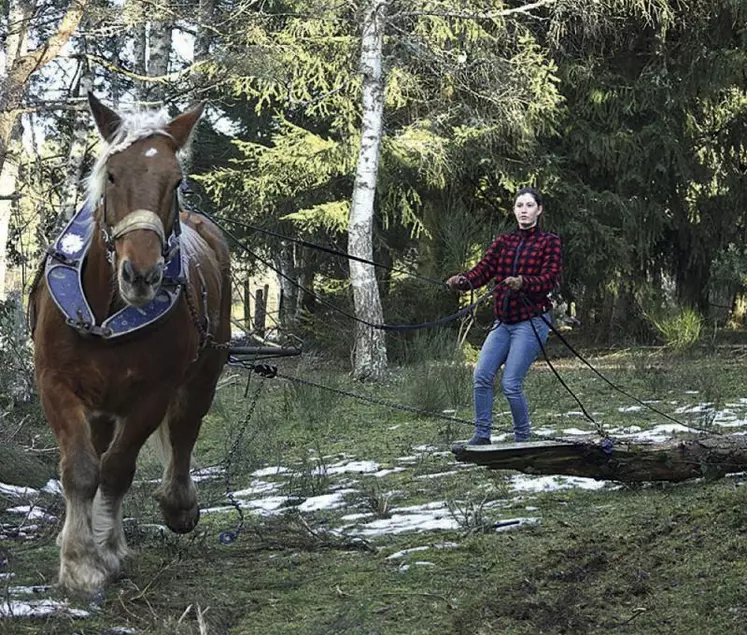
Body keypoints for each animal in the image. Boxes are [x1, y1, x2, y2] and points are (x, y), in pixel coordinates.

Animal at [28, 95, 231, 596]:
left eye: (175, 181)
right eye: (113, 175)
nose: (141, 274)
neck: (106, 311)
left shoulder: (151, 394)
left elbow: (118, 469)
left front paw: (105, 550)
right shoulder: (55, 385)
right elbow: (82, 469)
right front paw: (80, 561)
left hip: (206, 371)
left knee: (185, 429)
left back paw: (177, 503)